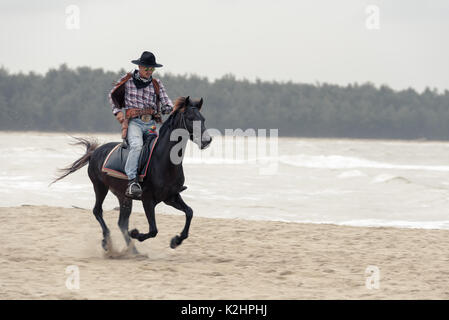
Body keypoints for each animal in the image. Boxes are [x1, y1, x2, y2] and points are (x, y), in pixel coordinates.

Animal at [52, 97, 212, 252]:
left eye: (203, 119)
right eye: (191, 118)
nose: (207, 140)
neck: (163, 161)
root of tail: (95, 152)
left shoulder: (171, 197)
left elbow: (189, 212)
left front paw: (176, 241)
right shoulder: (148, 200)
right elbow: (153, 230)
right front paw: (136, 233)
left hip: (123, 196)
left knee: (121, 223)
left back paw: (133, 251)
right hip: (100, 187)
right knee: (98, 211)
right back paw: (107, 242)